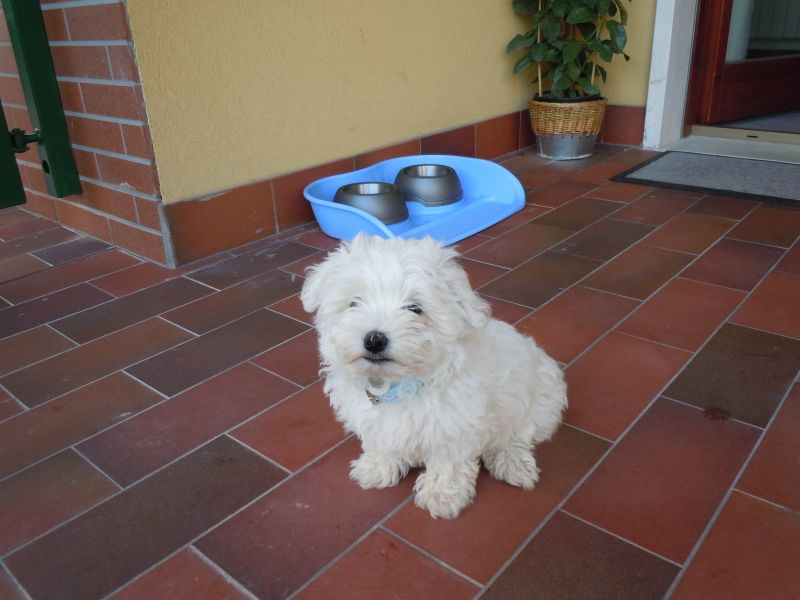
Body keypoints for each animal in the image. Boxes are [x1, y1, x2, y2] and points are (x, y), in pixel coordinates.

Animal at [302, 232, 568, 516]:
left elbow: (447, 461)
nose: (374, 340)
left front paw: (442, 496)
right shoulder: (377, 422)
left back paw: (513, 463)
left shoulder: (454, 425)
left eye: (414, 308)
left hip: (537, 402)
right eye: (353, 303)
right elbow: (382, 442)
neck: (398, 383)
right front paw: (376, 468)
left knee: (515, 436)